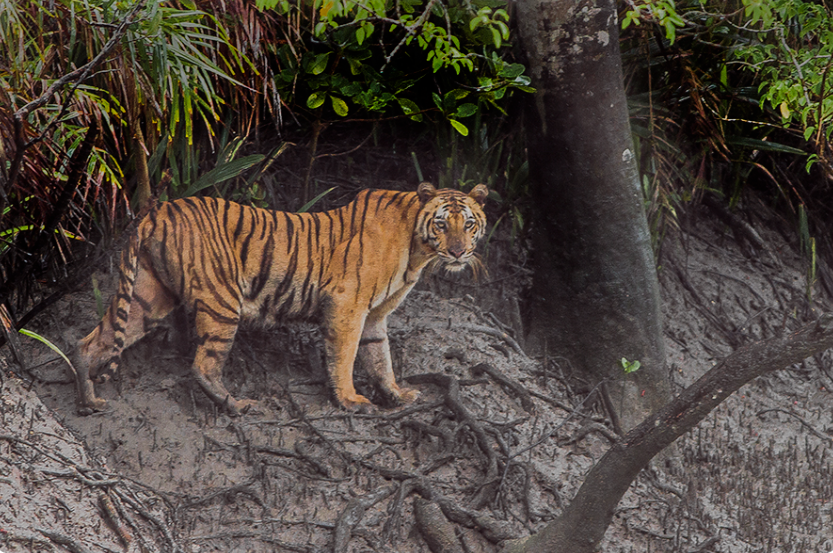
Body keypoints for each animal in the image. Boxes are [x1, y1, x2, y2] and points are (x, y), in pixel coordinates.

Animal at [73, 182, 489, 414]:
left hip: (148, 296)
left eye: (469, 224)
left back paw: (88, 400)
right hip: (222, 301)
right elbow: (345, 356)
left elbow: (380, 357)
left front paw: (397, 395)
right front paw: (350, 400)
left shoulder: (374, 316)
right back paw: (237, 405)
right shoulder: (348, 305)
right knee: (203, 365)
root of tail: (157, 210)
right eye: (442, 223)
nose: (458, 252)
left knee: (91, 341)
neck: (418, 251)